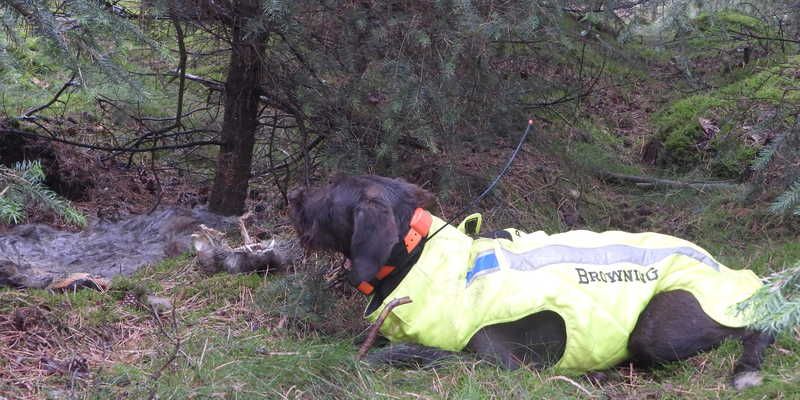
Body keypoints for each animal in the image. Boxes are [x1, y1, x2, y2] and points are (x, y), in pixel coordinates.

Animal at [290, 174, 772, 388]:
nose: (292, 194)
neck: (417, 256)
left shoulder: (496, 363)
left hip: (656, 330)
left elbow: (409, 352)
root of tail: (745, 280)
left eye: (329, 196)